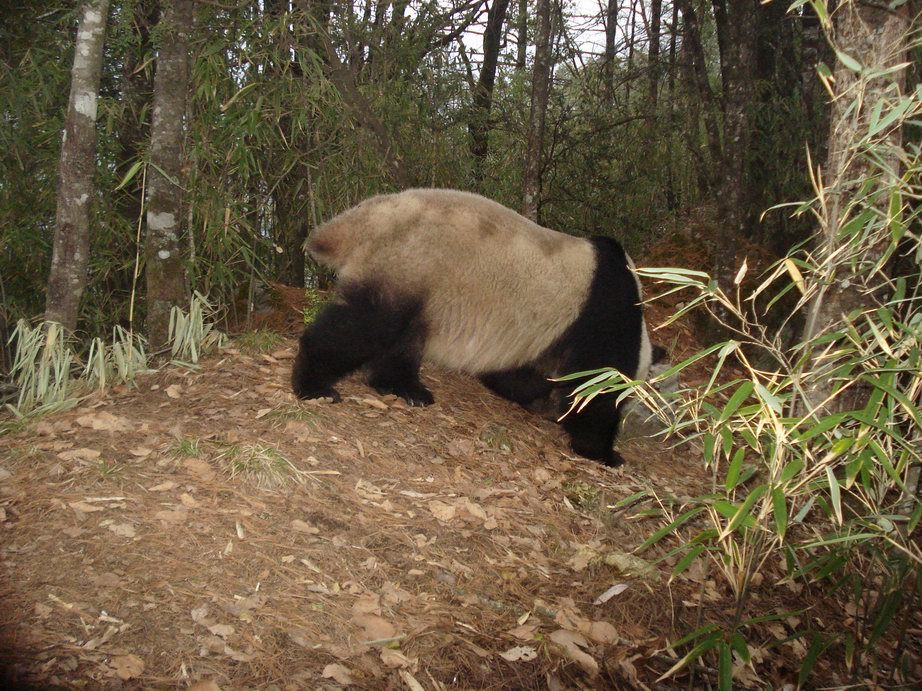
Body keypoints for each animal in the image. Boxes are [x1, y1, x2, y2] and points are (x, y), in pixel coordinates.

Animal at [292, 189, 656, 468]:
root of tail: (367, 218)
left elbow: (514, 374)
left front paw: (541, 403)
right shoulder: (599, 322)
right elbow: (594, 389)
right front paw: (604, 452)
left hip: (418, 279)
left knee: (403, 337)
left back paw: (407, 390)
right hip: (409, 261)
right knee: (366, 325)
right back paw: (315, 386)